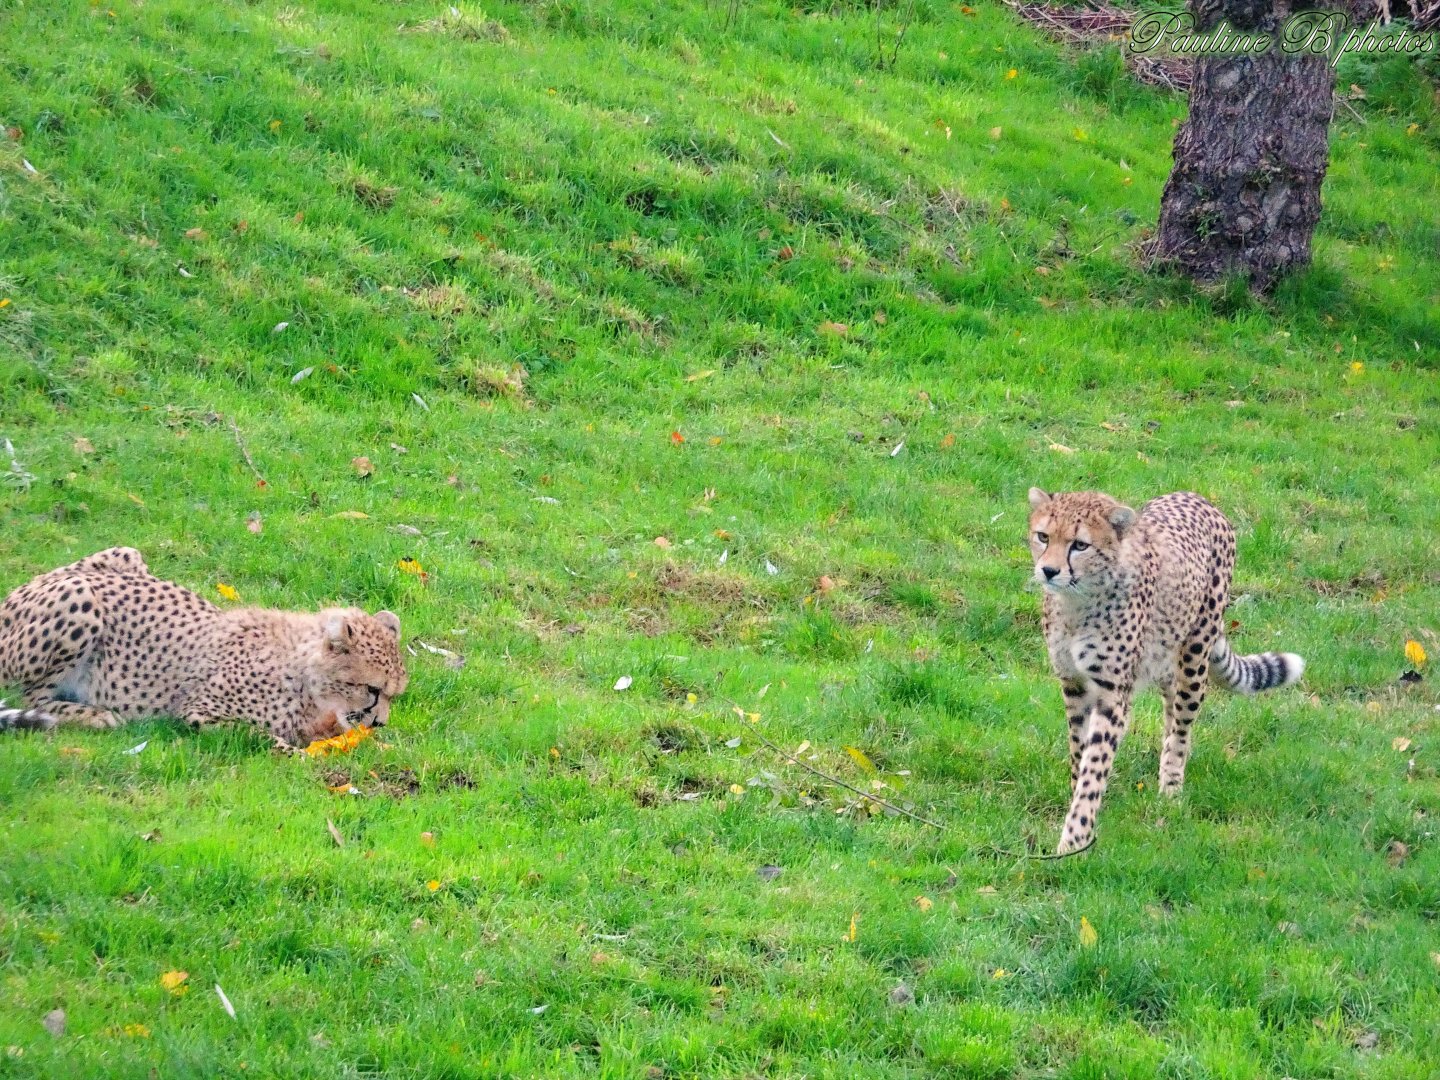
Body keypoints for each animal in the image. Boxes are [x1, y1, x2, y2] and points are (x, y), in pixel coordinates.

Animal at [0, 547, 408, 750]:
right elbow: (258, 735)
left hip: (125, 554)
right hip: (80, 599)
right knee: (29, 695)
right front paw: (295, 754)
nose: (382, 722)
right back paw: (94, 715)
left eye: (395, 695)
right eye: (372, 689)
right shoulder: (196, 712)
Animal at [1027, 489, 1304, 855]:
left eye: (1080, 545)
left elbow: (1095, 765)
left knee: (1183, 722)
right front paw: (1076, 801)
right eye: (1043, 536)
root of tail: (1197, 496)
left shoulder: (1112, 694)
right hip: (1163, 657)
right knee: (1171, 704)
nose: (1048, 570)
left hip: (1196, 653)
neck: (1079, 603)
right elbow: (1078, 750)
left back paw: (1171, 789)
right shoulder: (1072, 684)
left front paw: (1075, 838)